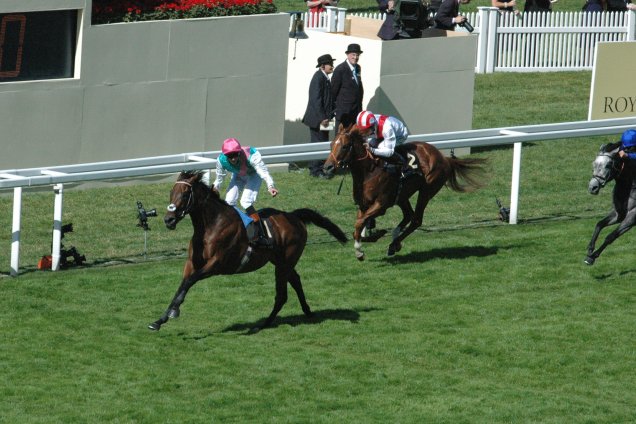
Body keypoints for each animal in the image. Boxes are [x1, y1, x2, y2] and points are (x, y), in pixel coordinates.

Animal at [149, 171, 348, 332]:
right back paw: (307, 311)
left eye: (184, 194)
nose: (168, 220)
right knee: (296, 281)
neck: (211, 225)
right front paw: (162, 319)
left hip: (285, 263)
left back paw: (263, 324)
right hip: (281, 262)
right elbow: (182, 285)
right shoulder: (192, 262)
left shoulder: (216, 264)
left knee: (282, 295)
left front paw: (171, 313)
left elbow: (189, 281)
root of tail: (293, 216)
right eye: (171, 192)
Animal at [322, 124, 486, 260]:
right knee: (408, 215)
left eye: (345, 146)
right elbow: (358, 226)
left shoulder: (381, 204)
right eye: (331, 144)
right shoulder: (363, 205)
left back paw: (394, 243)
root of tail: (444, 158)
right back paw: (395, 239)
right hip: (402, 195)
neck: (369, 171)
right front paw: (369, 240)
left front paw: (360, 251)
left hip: (427, 190)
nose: (327, 167)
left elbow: (359, 224)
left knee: (416, 219)